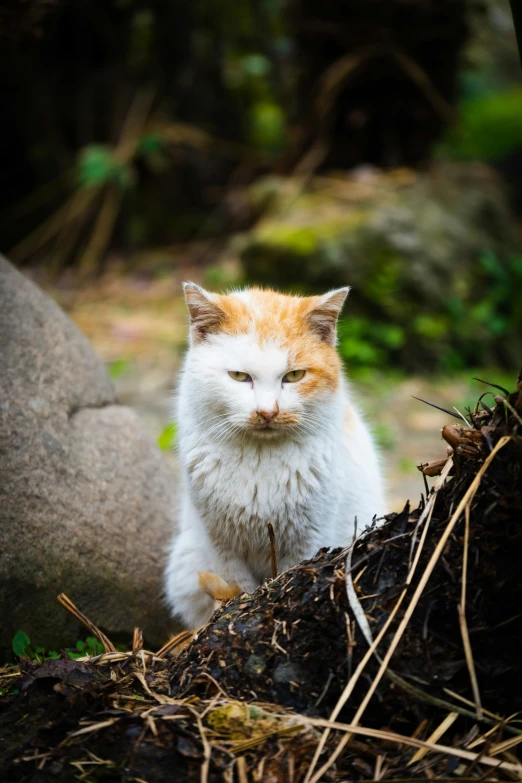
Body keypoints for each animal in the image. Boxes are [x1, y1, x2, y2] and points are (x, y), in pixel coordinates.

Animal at [165, 284, 384, 628]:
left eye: (294, 376)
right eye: (239, 376)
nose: (267, 412)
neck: (259, 460)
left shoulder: (308, 541)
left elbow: (289, 577)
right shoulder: (222, 547)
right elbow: (237, 590)